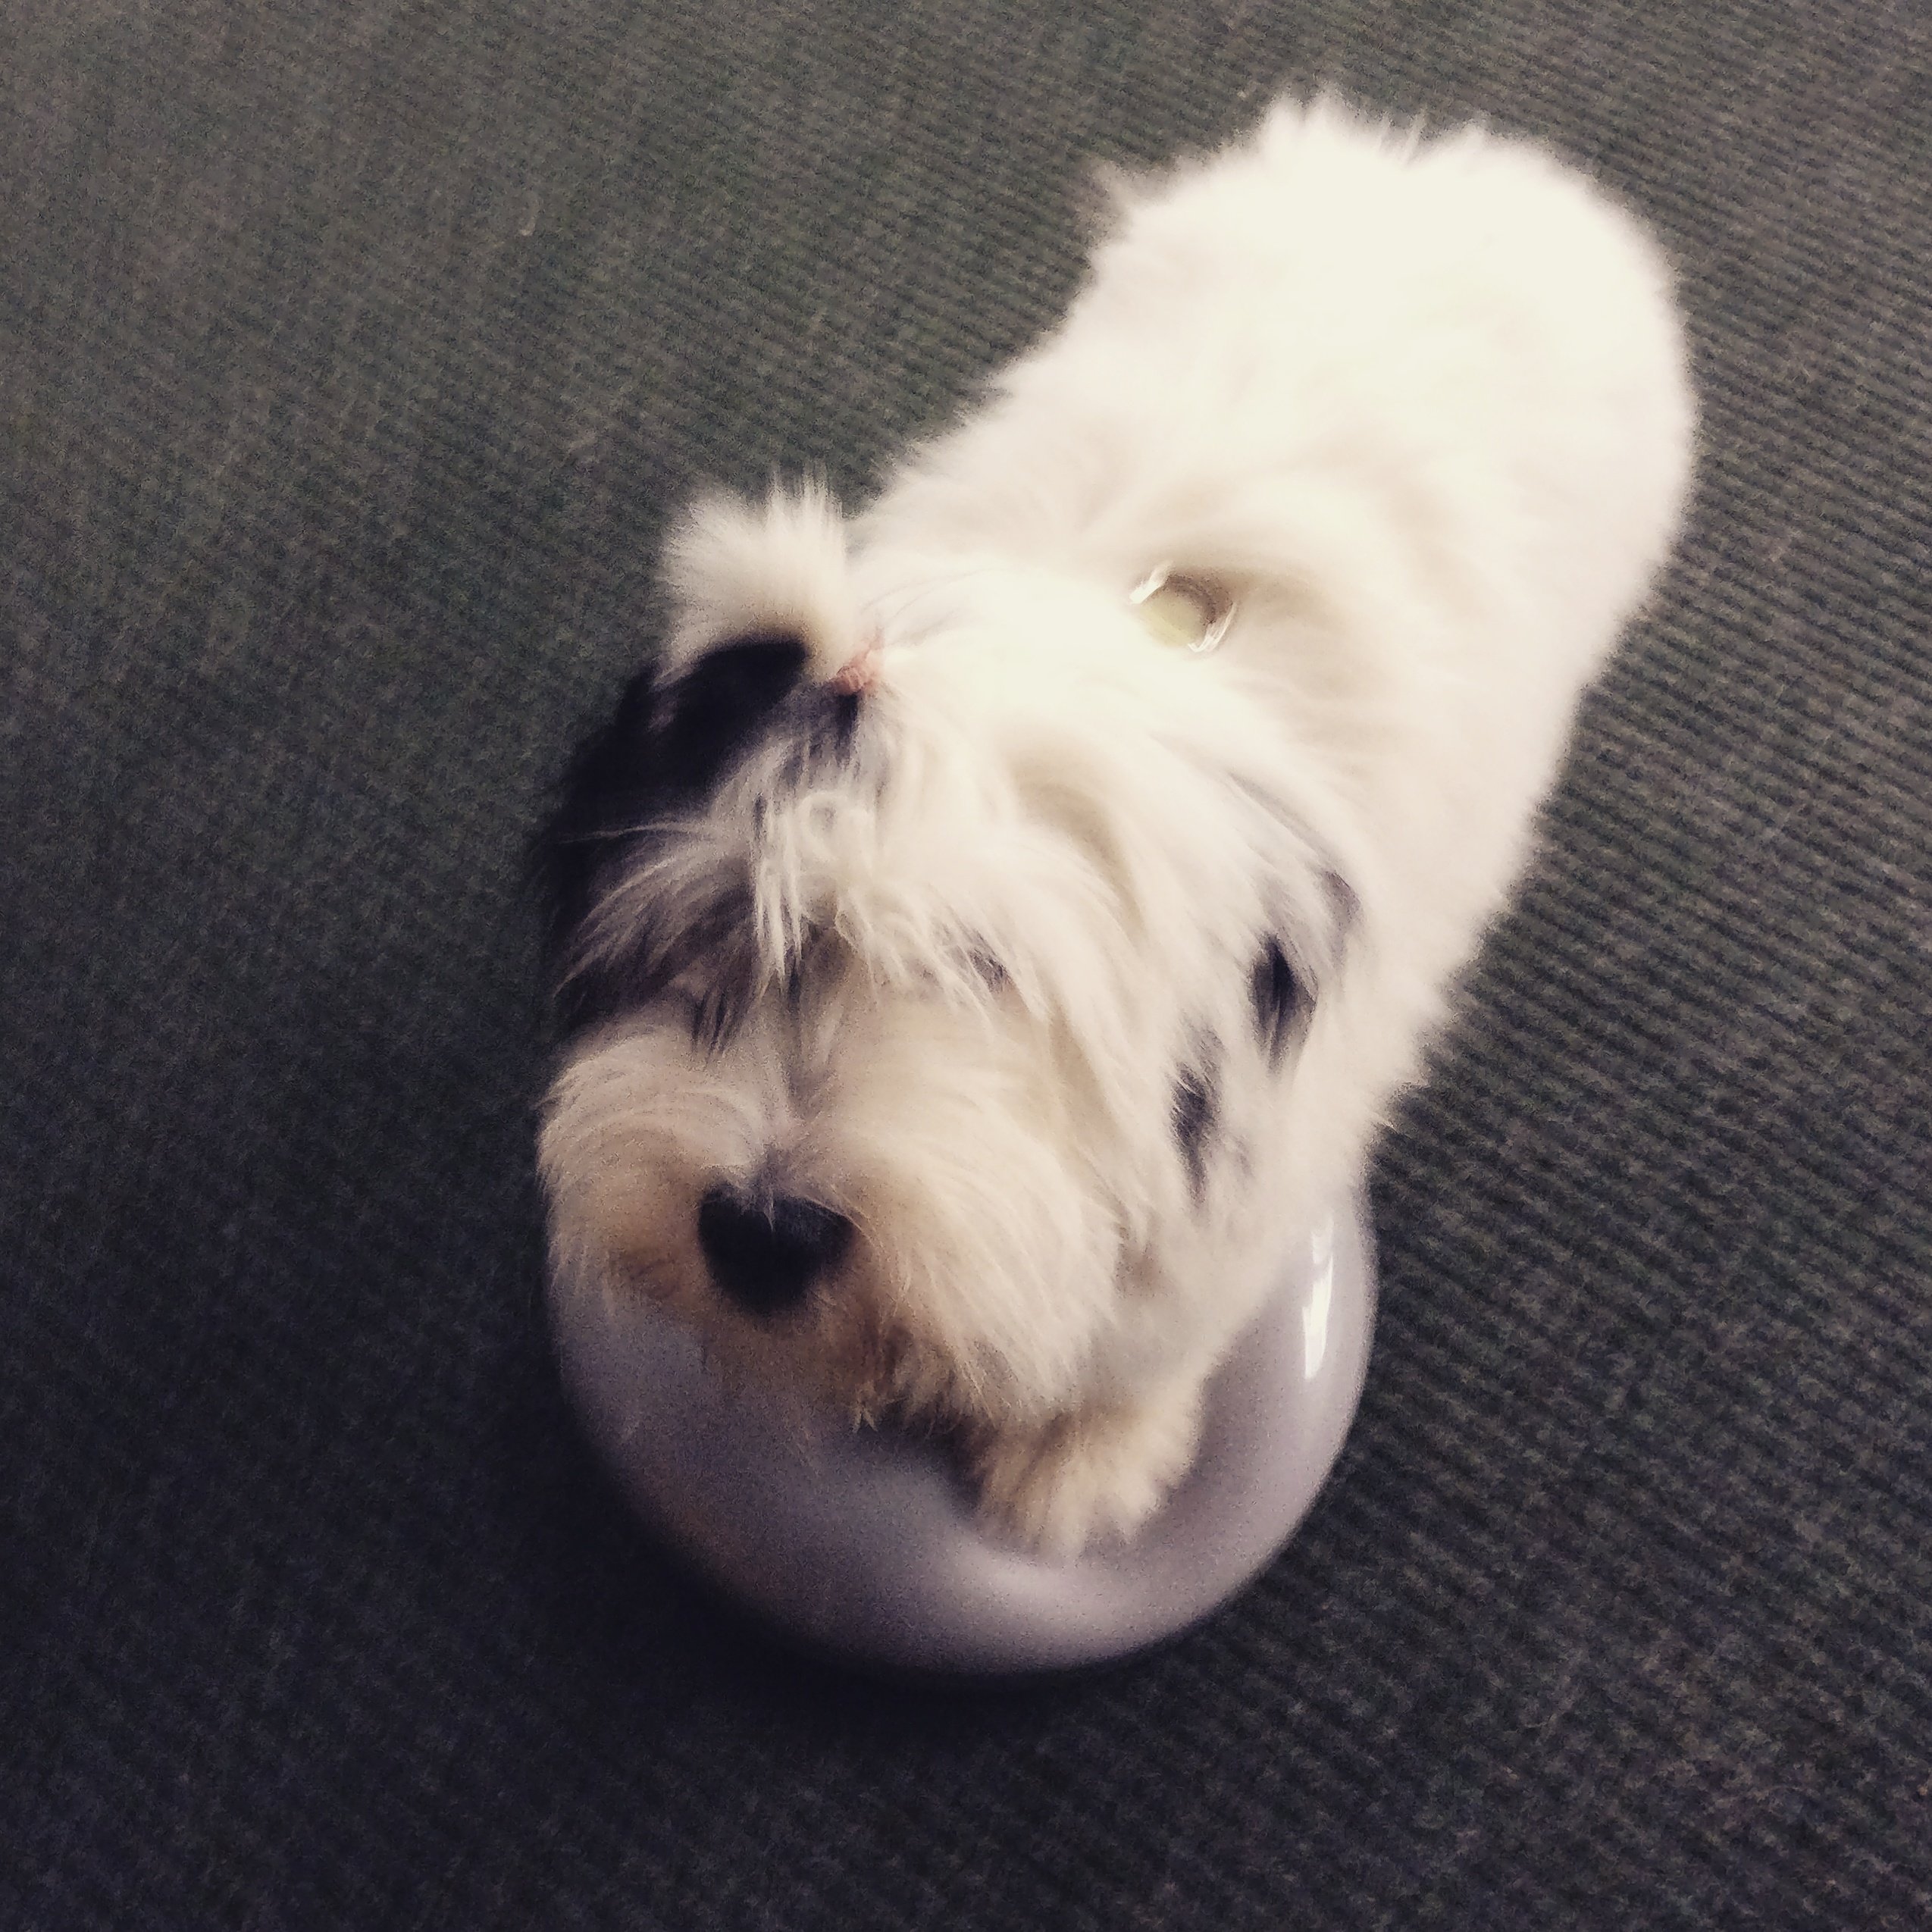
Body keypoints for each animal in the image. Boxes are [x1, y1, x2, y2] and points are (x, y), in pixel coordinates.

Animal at [535, 99, 1694, 1557]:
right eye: (719, 925)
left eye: (977, 967)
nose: (760, 1229)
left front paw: (1080, 1454)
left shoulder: (1258, 1144)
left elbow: (1153, 1328)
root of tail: (1468, 163)